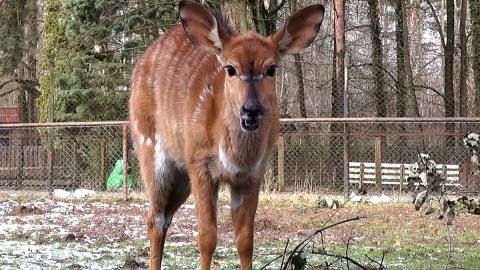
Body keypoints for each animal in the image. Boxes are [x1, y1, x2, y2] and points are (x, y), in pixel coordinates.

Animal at [129, 1, 324, 268]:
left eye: (271, 68)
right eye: (230, 68)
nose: (251, 110)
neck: (235, 156)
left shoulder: (252, 175)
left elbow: (245, 241)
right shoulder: (200, 166)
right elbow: (207, 237)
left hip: (180, 178)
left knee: (166, 216)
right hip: (152, 154)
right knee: (154, 218)